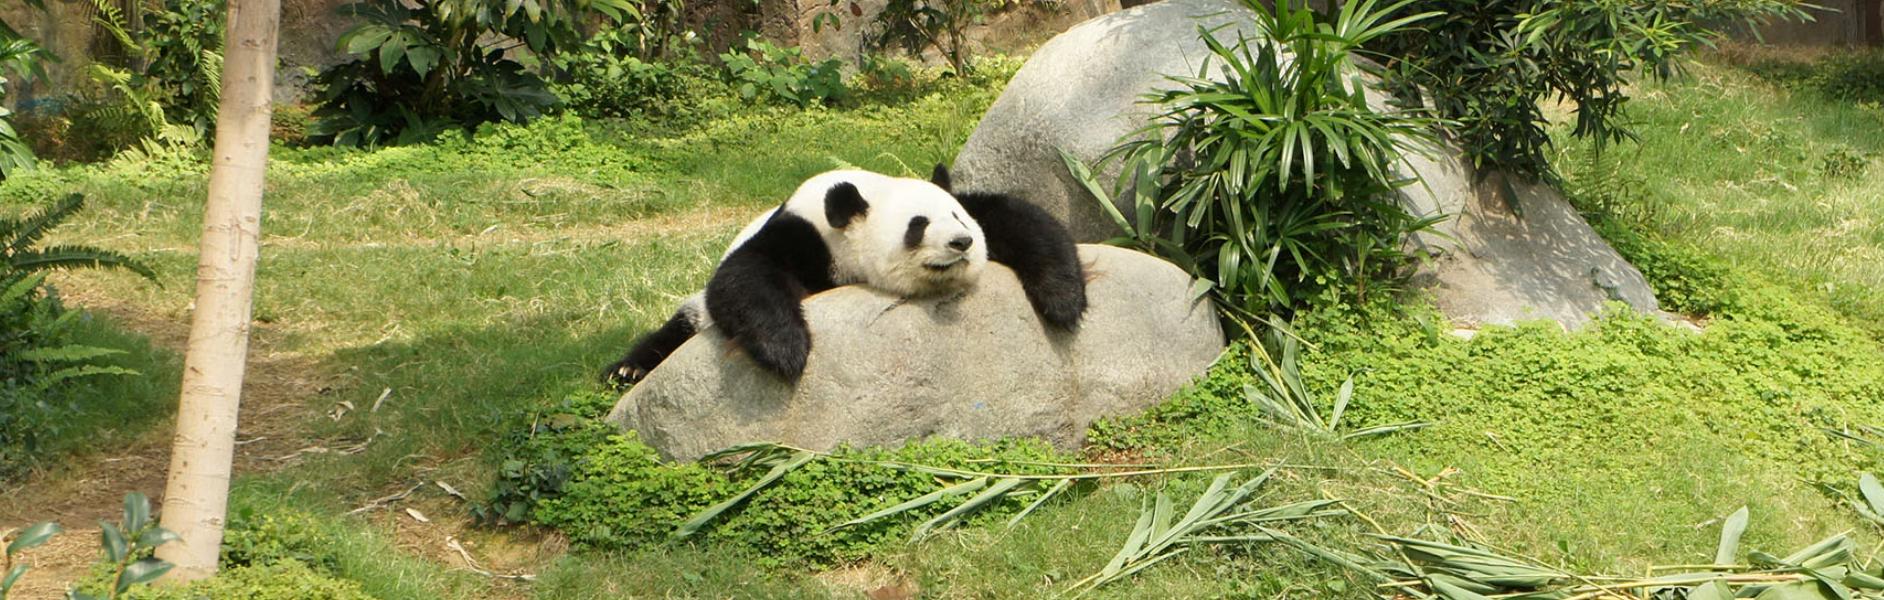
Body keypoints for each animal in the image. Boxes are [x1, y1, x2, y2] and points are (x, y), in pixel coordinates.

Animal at [603, 165, 1086, 386]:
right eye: (918, 225)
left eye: (957, 218)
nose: (961, 242)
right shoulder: (802, 234)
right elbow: (743, 277)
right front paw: (787, 350)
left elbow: (1023, 219)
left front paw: (1064, 302)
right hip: (692, 317)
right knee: (683, 323)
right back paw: (627, 369)